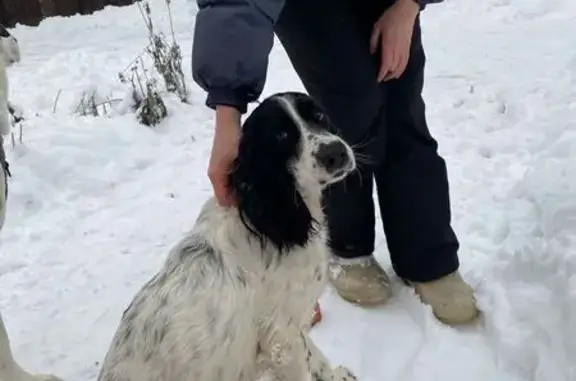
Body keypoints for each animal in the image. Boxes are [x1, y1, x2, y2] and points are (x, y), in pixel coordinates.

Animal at [0, 24, 358, 381]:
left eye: (320, 115)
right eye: (281, 136)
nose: (337, 153)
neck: (272, 213)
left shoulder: (288, 330)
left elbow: (315, 355)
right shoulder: (282, 337)